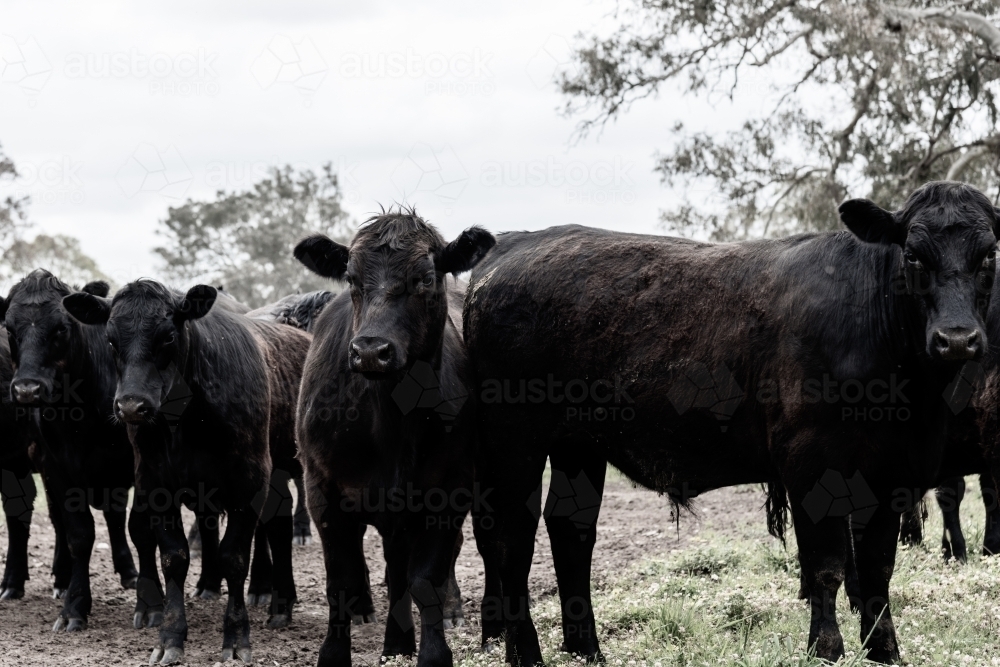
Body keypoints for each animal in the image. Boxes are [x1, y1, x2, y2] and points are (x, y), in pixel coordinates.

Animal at [0, 272, 140, 631]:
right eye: (10, 328)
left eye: (62, 328)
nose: (27, 389)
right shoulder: (56, 468)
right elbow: (78, 534)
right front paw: (75, 606)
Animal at [63, 278, 310, 665]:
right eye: (111, 340)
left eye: (168, 336)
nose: (131, 406)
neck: (186, 420)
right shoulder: (154, 484)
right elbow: (174, 558)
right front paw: (170, 636)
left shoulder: (249, 481)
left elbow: (233, 558)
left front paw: (236, 636)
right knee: (279, 526)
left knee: (278, 530)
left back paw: (280, 604)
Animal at [293, 209, 494, 667]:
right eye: (350, 278)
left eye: (425, 277)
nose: (370, 350)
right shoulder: (321, 490)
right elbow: (342, 582)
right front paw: (334, 655)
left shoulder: (449, 490)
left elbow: (425, 580)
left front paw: (433, 654)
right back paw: (395, 643)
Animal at [462, 181, 1000, 665]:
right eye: (913, 255)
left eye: (989, 255)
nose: (957, 339)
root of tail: (511, 244)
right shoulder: (810, 463)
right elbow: (826, 567)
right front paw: (826, 650)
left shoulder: (893, 472)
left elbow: (877, 569)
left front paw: (885, 651)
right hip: (515, 442)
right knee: (512, 537)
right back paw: (525, 653)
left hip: (578, 445)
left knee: (571, 529)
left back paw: (586, 650)